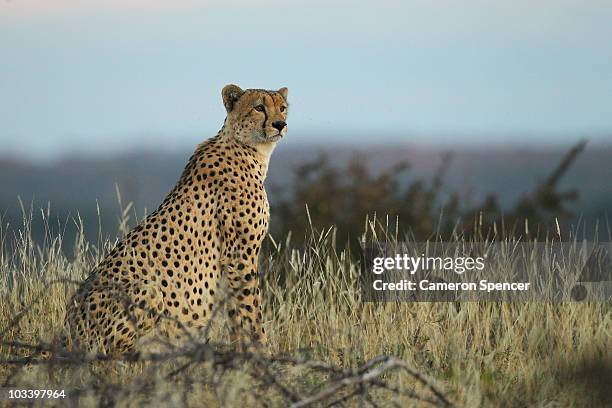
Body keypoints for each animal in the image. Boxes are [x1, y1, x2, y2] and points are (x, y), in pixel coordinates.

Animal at [64, 83, 290, 354]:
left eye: (282, 107)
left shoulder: (231, 260)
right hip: (147, 290)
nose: (280, 124)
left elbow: (236, 312)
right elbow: (251, 309)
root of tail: (66, 331)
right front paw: (262, 351)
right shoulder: (239, 255)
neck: (248, 148)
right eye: (259, 107)